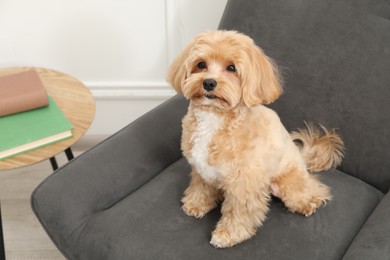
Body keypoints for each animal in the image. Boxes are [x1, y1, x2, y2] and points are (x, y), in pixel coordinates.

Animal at [166, 30, 342, 248]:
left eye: (231, 68)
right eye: (201, 64)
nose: (208, 82)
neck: (215, 118)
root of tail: (301, 157)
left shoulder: (245, 183)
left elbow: (239, 212)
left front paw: (227, 235)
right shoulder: (201, 169)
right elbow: (201, 187)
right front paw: (196, 204)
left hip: (288, 183)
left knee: (312, 191)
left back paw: (309, 203)